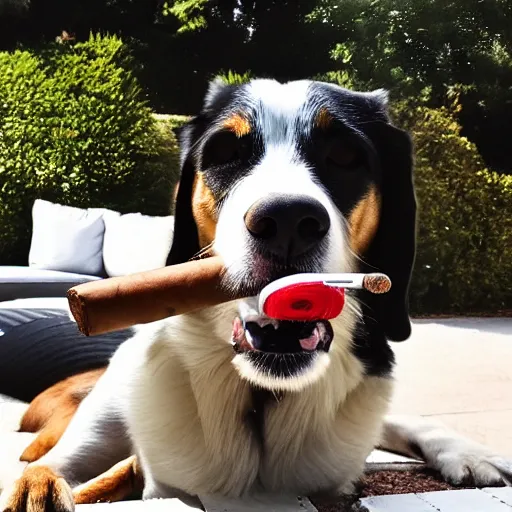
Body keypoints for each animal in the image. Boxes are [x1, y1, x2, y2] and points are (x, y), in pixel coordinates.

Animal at [2, 78, 510, 510]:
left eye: (346, 156)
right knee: (56, 460)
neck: (262, 397)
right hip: (103, 416)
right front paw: (38, 493)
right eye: (226, 153)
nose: (287, 221)